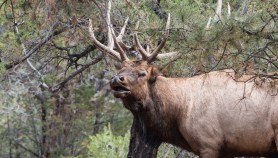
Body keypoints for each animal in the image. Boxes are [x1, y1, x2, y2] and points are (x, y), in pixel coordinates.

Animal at [88, 10, 278, 158]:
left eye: (142, 73)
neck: (180, 110)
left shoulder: (209, 142)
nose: (116, 79)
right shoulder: (227, 150)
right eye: (120, 68)